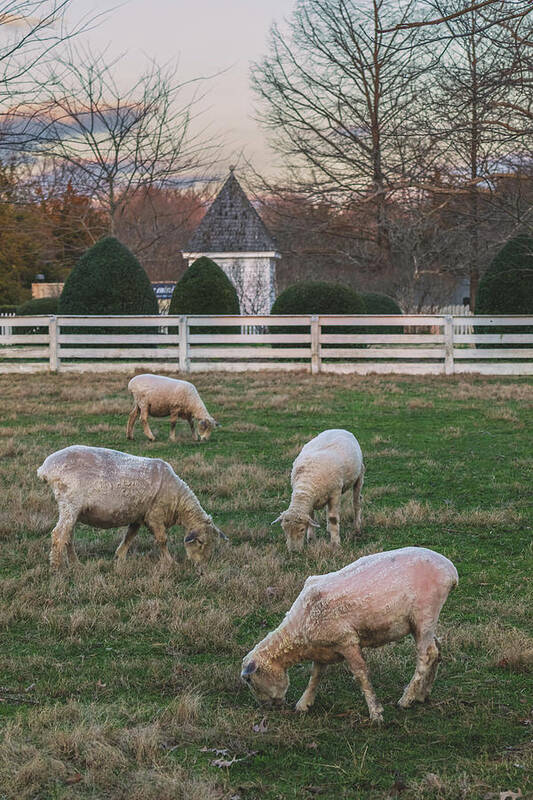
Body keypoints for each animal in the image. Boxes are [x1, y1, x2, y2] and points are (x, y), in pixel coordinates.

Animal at [37, 444, 227, 568]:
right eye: (200, 541)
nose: (202, 566)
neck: (178, 502)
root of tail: (46, 468)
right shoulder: (155, 515)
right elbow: (162, 540)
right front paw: (169, 561)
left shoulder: (139, 515)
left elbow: (130, 536)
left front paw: (119, 557)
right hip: (70, 502)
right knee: (59, 534)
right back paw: (56, 567)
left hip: (72, 508)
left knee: (68, 535)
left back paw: (75, 563)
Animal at [241, 548, 458, 720]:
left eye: (249, 680)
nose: (267, 707)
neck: (299, 630)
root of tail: (450, 571)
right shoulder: (323, 648)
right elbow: (315, 676)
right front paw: (304, 703)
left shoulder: (347, 640)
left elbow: (361, 675)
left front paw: (376, 713)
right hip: (422, 622)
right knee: (436, 649)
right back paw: (422, 694)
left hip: (425, 614)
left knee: (426, 655)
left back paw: (406, 699)